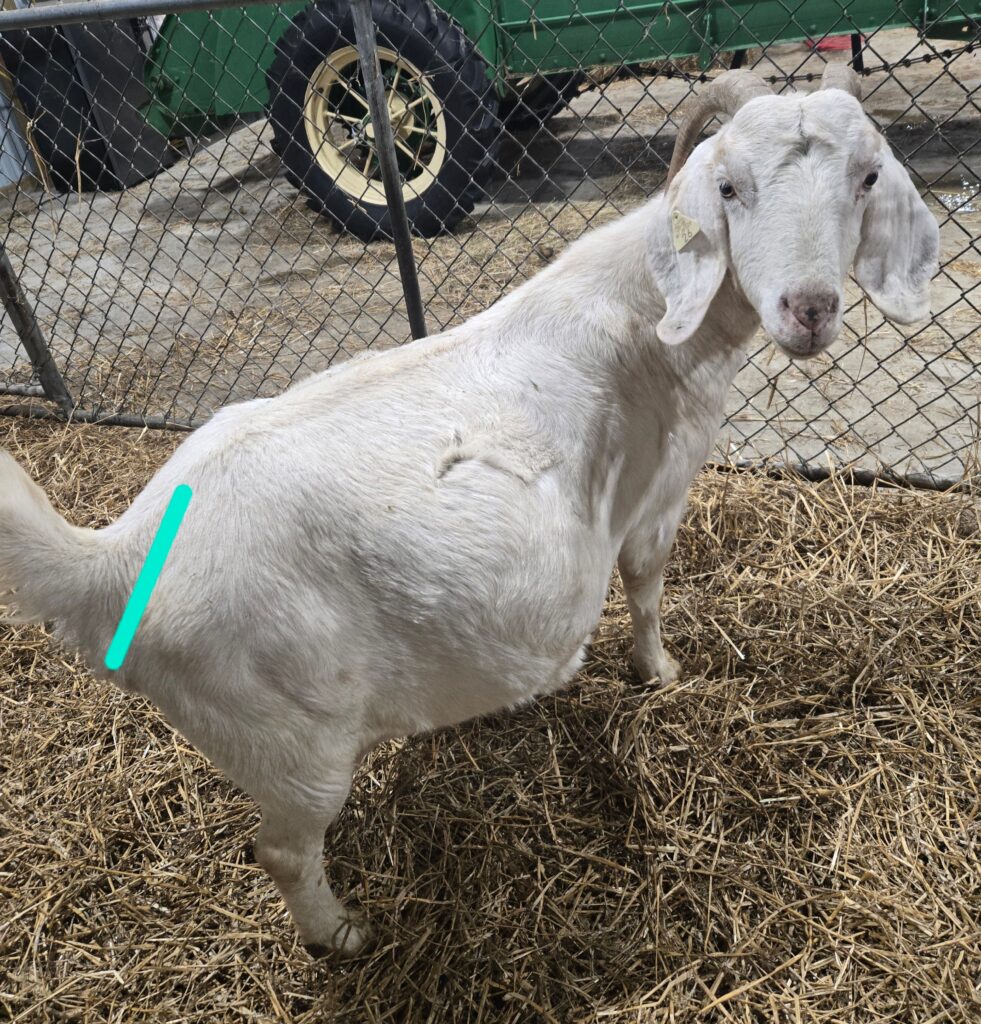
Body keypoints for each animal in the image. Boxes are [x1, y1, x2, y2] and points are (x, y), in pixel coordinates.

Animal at [0, 65, 938, 955]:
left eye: (866, 178)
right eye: (729, 188)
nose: (808, 310)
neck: (647, 316)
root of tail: (110, 562)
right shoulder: (659, 489)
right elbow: (643, 585)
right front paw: (658, 671)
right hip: (286, 742)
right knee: (281, 851)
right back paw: (338, 935)